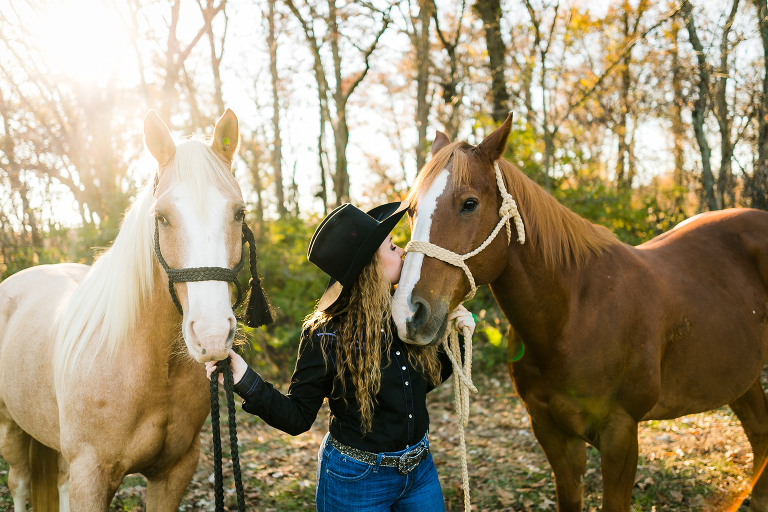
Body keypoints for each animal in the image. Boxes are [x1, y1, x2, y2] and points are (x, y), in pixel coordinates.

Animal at [0, 108, 267, 511]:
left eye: (239, 213)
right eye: (162, 218)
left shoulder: (174, 472)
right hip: (10, 428)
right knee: (19, 482)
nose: (212, 335)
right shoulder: (90, 476)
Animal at [392, 113, 768, 512]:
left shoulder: (620, 434)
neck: (573, 315)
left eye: (469, 203)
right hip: (739, 375)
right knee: (761, 432)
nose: (406, 312)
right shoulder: (552, 433)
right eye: (412, 210)